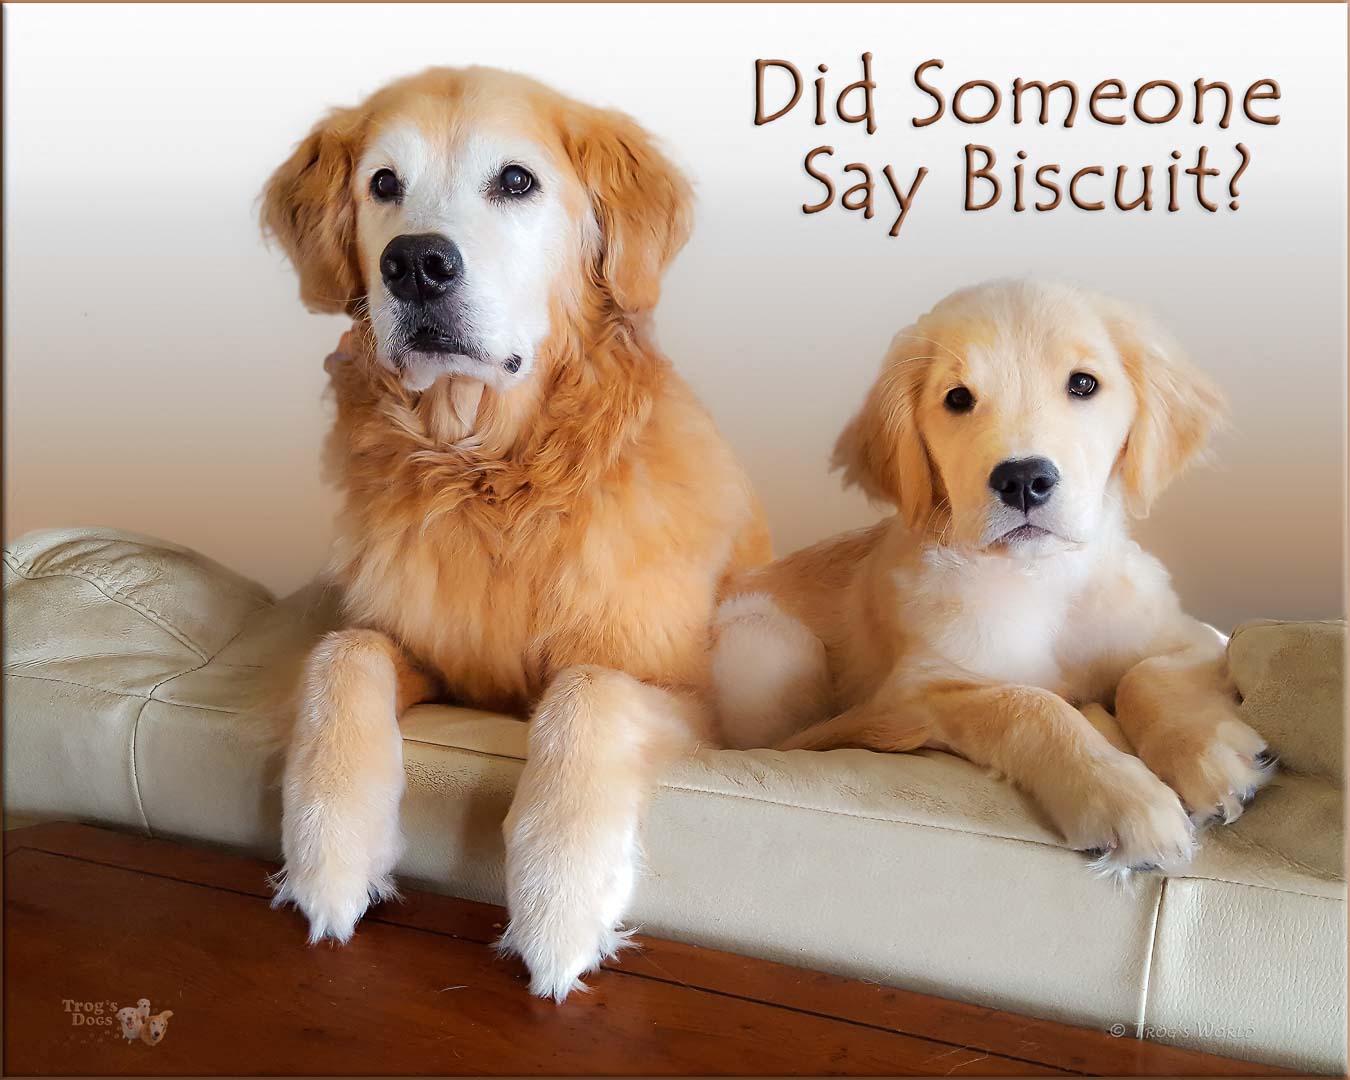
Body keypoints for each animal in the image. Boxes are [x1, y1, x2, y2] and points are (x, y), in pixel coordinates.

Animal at [260, 65, 772, 993]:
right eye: (382, 184)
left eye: (516, 181)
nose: (414, 264)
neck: (488, 472)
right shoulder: (418, 647)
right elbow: (340, 655)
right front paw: (328, 855)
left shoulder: (688, 693)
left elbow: (586, 691)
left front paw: (557, 903)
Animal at [718, 280, 1274, 874]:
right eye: (958, 398)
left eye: (1083, 383)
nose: (1024, 479)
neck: (1042, 576)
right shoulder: (917, 692)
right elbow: (1028, 704)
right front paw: (1122, 795)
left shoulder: (1191, 636)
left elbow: (1146, 675)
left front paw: (1213, 758)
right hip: (768, 641)